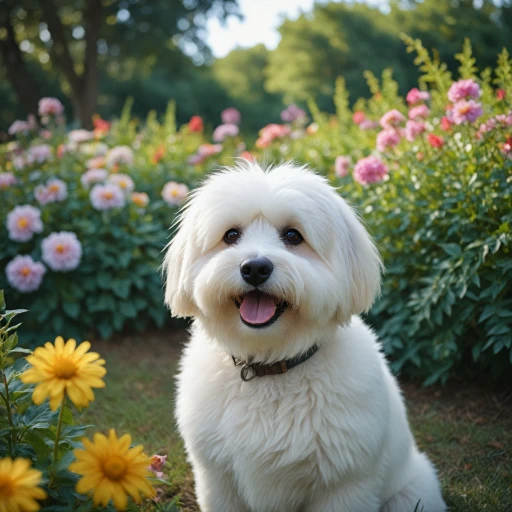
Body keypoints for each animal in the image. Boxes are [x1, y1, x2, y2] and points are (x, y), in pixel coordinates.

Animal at [166, 161, 446, 512]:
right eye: (231, 235)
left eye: (292, 235)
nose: (255, 268)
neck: (271, 365)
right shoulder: (218, 479)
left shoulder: (344, 485)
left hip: (409, 494)